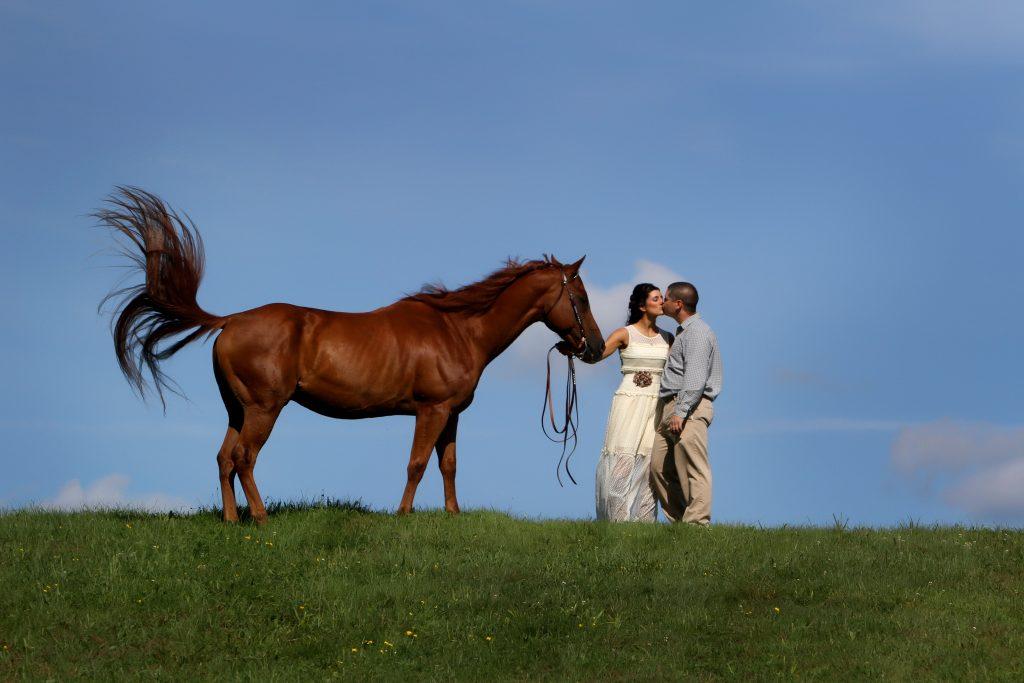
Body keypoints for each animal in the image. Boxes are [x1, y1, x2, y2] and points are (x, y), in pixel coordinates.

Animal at [94, 187, 606, 524]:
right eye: (580, 297)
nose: (596, 347)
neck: (458, 328)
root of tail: (230, 321)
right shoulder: (431, 410)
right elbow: (417, 463)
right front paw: (403, 516)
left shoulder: (452, 414)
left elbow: (448, 465)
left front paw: (453, 516)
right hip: (263, 408)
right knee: (244, 458)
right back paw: (259, 518)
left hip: (237, 409)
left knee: (224, 458)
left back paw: (232, 520)